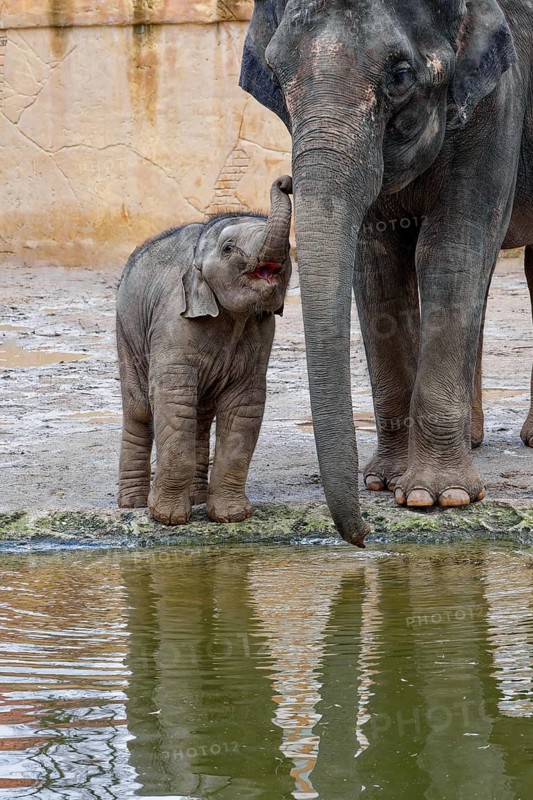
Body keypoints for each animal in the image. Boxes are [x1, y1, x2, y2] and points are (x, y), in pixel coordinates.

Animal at [116, 175, 292, 525]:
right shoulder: (173, 322)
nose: (284, 181)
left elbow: (244, 406)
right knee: (139, 409)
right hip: (126, 333)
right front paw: (167, 518)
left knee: (199, 415)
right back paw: (132, 504)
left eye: (291, 249)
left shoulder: (261, 334)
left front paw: (231, 516)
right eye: (228, 249)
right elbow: (171, 399)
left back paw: (195, 497)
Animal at [240, 0, 533, 546]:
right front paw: (385, 483)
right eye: (275, 72)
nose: (364, 536)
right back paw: (473, 439)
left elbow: (452, 248)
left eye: (399, 76)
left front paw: (436, 498)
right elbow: (376, 262)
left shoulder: (501, 99)